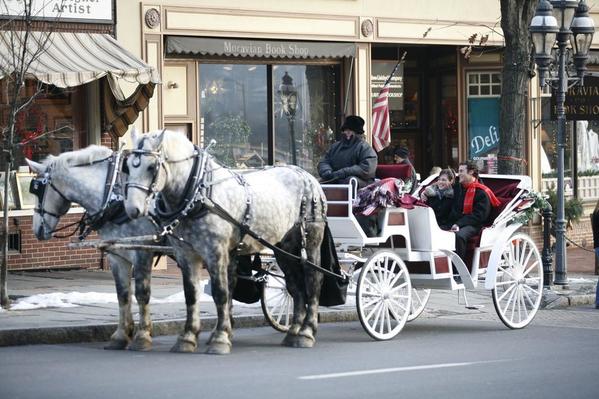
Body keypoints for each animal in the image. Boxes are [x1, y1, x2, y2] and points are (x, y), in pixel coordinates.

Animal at [27, 147, 164, 350]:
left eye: (38, 190)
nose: (36, 229)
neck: (114, 195)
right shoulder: (117, 254)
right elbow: (123, 294)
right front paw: (121, 336)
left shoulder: (142, 251)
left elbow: (142, 294)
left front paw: (143, 336)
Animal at [123, 130, 328, 354]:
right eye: (128, 166)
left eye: (151, 167)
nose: (132, 209)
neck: (198, 192)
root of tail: (307, 176)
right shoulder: (186, 253)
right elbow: (191, 295)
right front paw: (188, 338)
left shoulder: (216, 251)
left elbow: (221, 293)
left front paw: (220, 338)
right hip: (284, 247)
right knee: (294, 286)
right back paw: (294, 332)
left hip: (311, 239)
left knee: (314, 281)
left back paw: (307, 332)